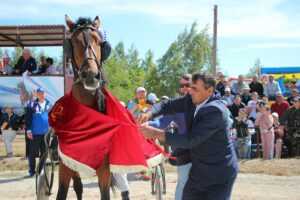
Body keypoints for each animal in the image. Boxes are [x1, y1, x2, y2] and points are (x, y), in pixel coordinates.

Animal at [56, 14, 111, 199]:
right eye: (73, 42)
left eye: (99, 41)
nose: (90, 76)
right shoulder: (65, 167)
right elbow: (62, 192)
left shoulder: (104, 171)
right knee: (78, 187)